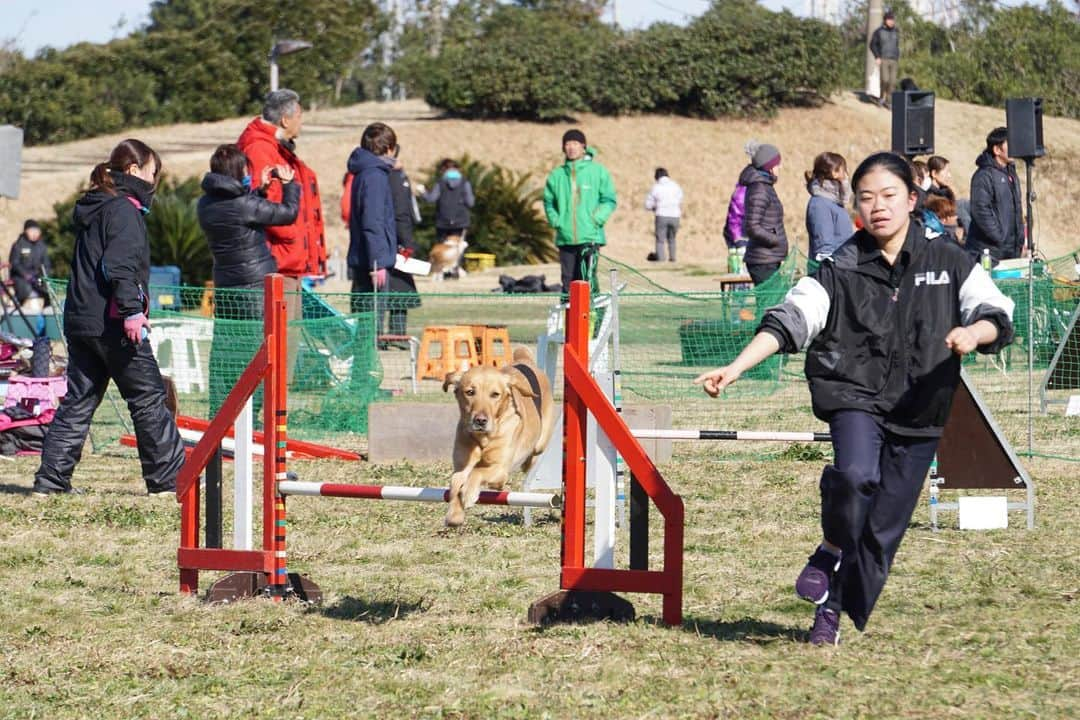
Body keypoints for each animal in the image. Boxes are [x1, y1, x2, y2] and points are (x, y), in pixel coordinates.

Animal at [440, 345, 557, 526]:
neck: (483, 438)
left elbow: (477, 472)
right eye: (470, 392)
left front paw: (468, 493)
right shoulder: (461, 466)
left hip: (540, 443)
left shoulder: (500, 468)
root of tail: (524, 360)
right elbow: (456, 483)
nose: (480, 420)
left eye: (495, 394)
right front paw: (454, 515)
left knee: (533, 455)